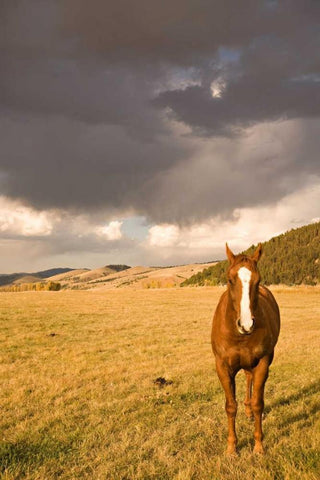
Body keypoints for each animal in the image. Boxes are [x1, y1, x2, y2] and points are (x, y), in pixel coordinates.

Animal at [212, 244, 280, 454]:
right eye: (230, 279)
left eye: (258, 280)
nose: (246, 324)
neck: (239, 337)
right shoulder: (222, 367)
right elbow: (230, 406)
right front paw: (231, 448)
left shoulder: (263, 364)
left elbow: (258, 403)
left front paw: (258, 446)